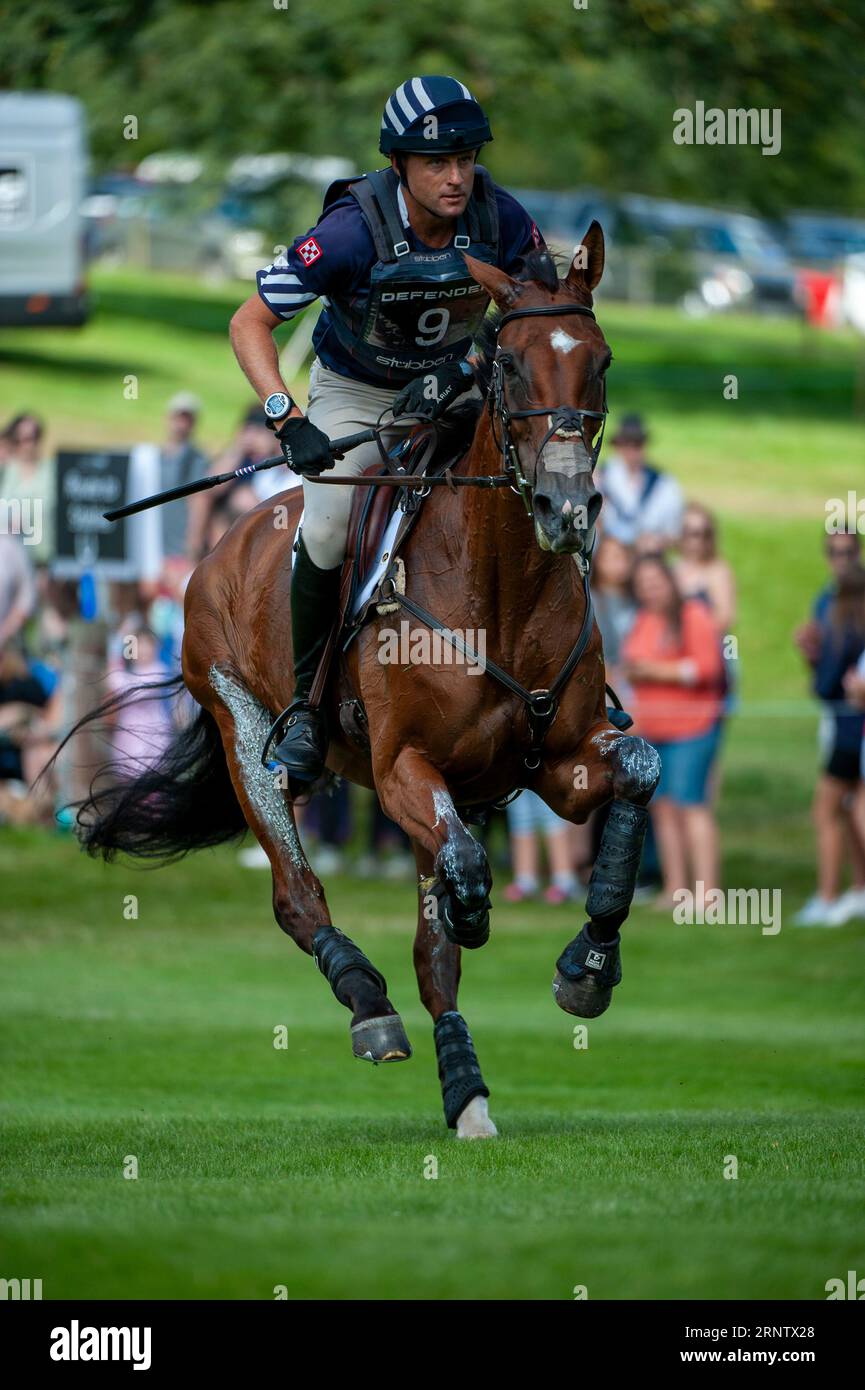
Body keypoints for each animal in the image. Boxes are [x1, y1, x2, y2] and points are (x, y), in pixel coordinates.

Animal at [79, 227, 664, 1134]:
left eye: (598, 361)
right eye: (508, 364)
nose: (565, 508)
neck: (500, 586)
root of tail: (225, 542)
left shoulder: (561, 766)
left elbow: (635, 773)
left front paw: (588, 966)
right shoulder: (401, 770)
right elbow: (463, 867)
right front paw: (476, 918)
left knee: (430, 956)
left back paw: (466, 1094)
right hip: (247, 732)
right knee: (298, 894)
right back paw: (369, 1005)